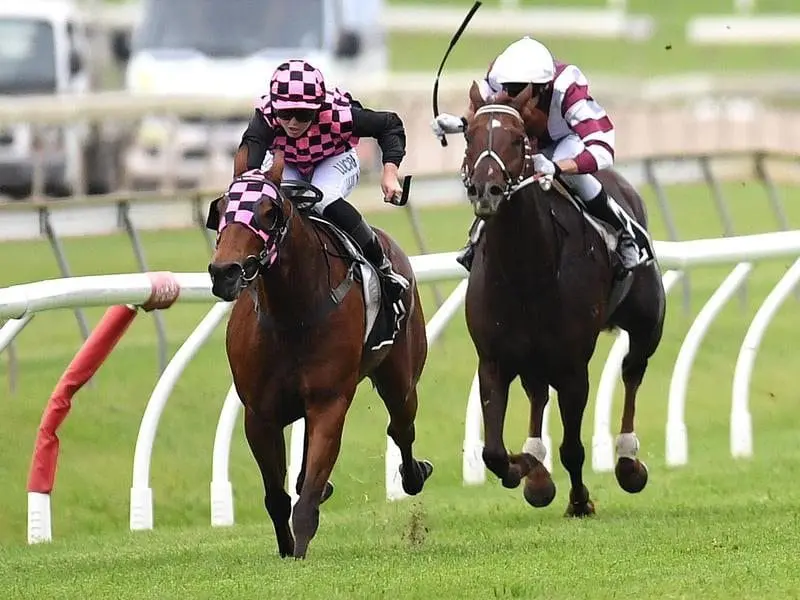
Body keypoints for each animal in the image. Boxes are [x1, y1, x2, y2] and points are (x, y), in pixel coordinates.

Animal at [205, 156, 432, 556]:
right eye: (220, 209)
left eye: (269, 213)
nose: (224, 273)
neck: (292, 312)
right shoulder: (259, 415)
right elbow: (277, 497)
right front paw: (285, 548)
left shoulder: (329, 402)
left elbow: (307, 495)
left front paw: (299, 550)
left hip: (400, 379)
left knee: (401, 427)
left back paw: (413, 474)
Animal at [460, 82, 664, 516]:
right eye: (469, 135)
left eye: (517, 139)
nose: (486, 190)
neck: (526, 270)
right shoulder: (494, 360)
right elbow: (493, 452)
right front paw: (524, 467)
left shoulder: (573, 366)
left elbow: (572, 448)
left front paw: (580, 501)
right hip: (533, 356)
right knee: (537, 391)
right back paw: (537, 471)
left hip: (647, 324)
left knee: (632, 370)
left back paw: (628, 462)